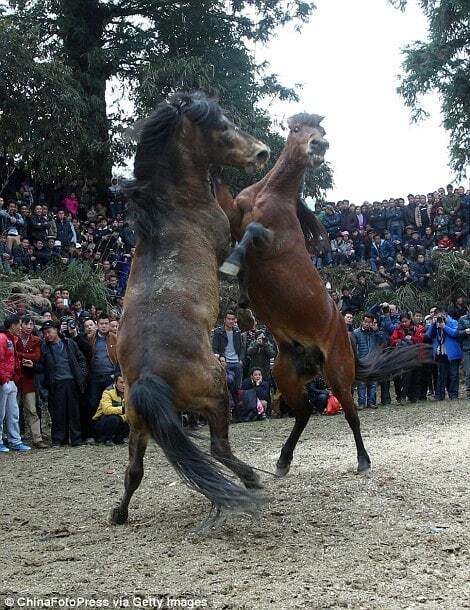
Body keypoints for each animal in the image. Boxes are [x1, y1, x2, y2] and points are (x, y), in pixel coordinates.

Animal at [110, 91, 270, 528]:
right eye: (223, 126)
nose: (262, 152)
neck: (174, 206)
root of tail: (150, 377)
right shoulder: (223, 241)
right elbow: (243, 250)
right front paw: (246, 313)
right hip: (216, 391)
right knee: (218, 448)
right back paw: (251, 480)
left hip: (138, 424)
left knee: (133, 470)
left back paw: (118, 513)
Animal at [217, 114, 430, 476]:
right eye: (297, 130)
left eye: (322, 132)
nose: (319, 147)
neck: (268, 194)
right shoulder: (234, 215)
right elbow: (226, 209)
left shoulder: (269, 241)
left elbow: (251, 235)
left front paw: (233, 272)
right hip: (285, 375)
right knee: (304, 413)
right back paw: (283, 461)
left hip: (338, 375)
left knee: (351, 415)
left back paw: (362, 461)